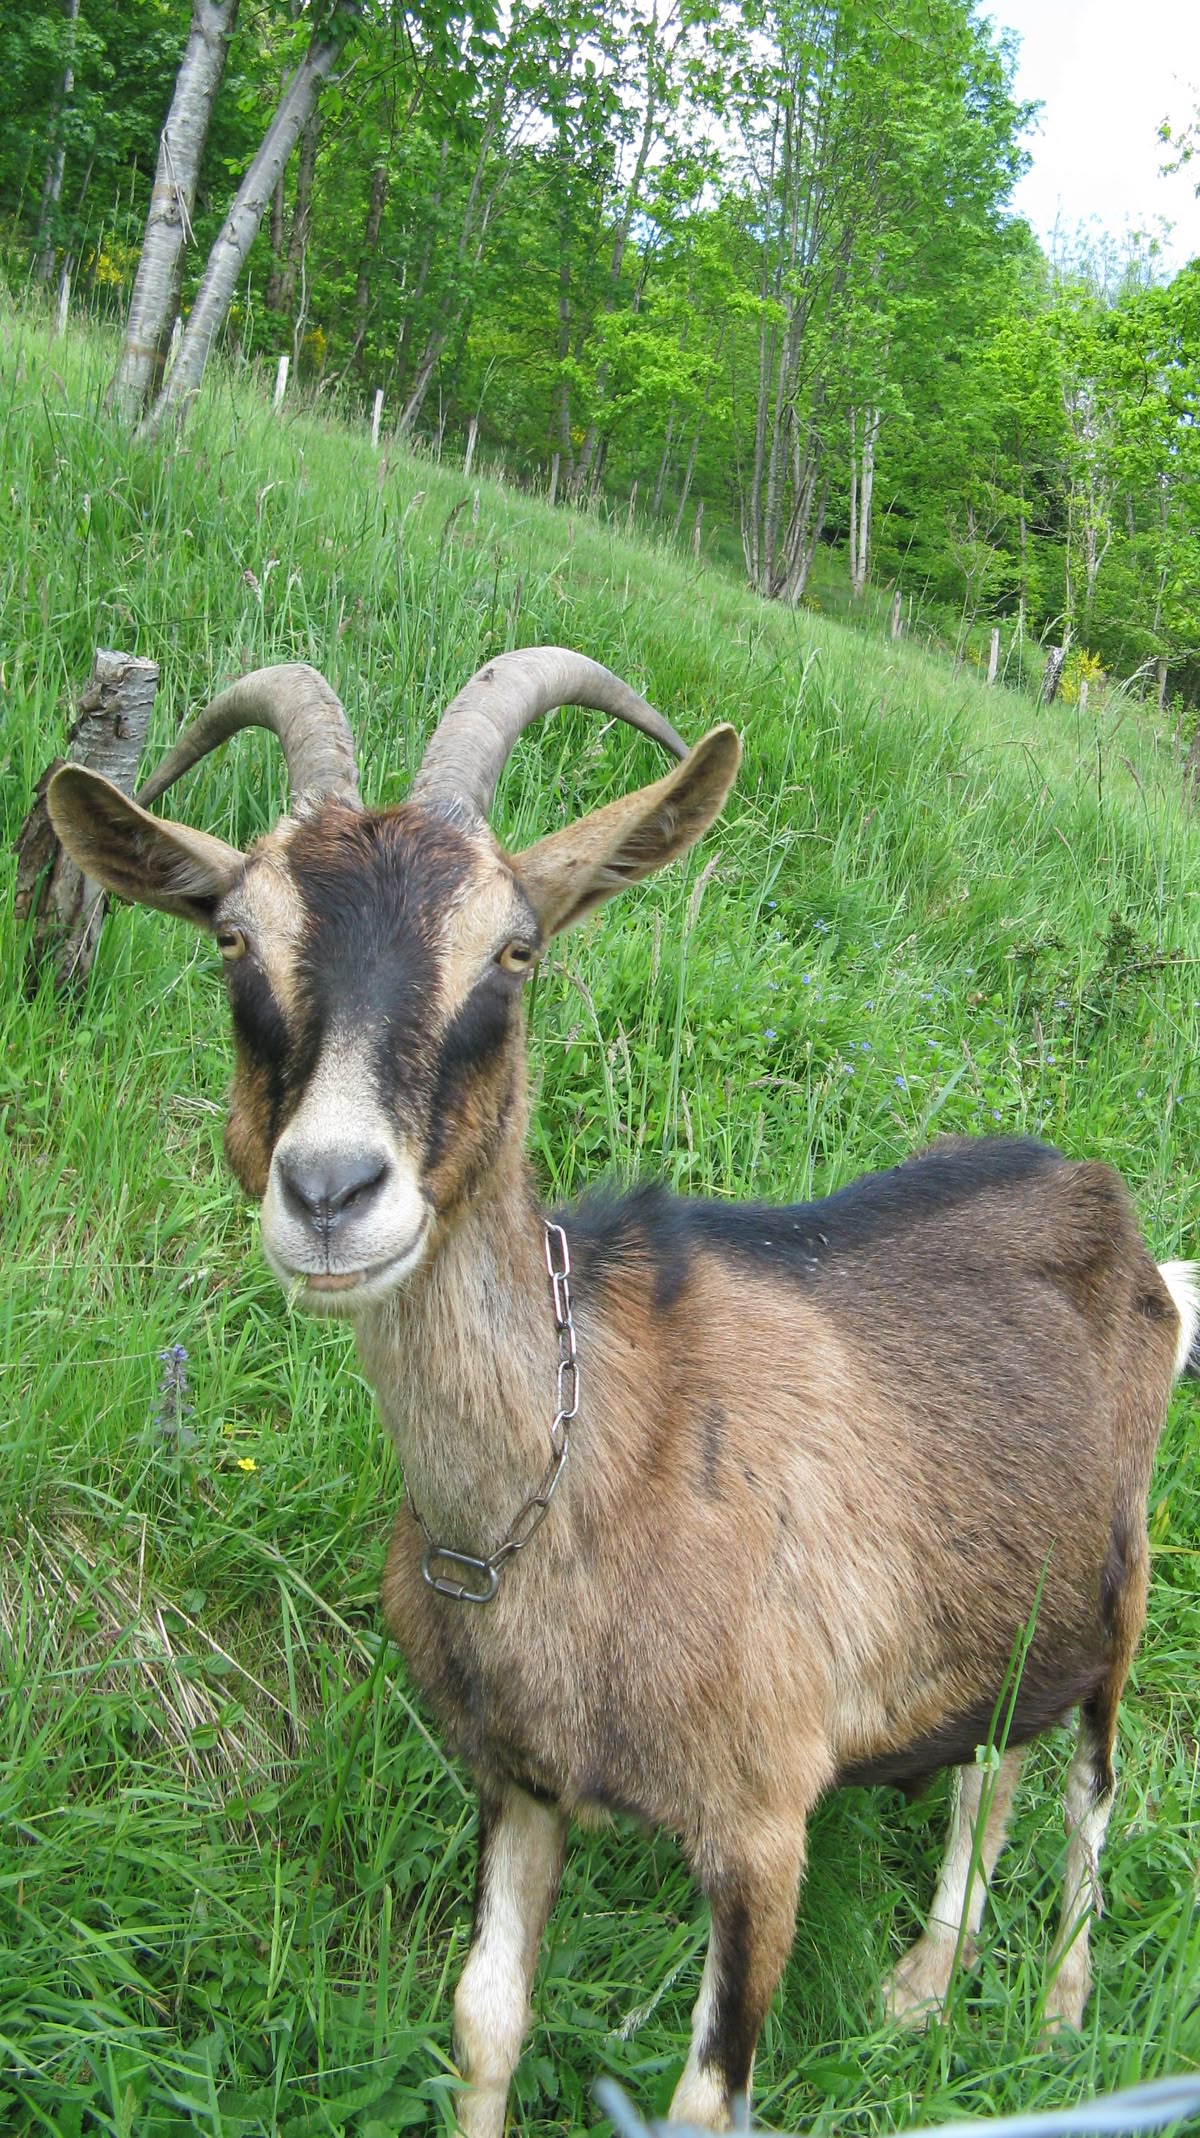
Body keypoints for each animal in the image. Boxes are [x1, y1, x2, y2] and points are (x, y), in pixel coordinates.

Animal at [49, 650, 1198, 2134]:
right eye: (235, 937)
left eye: (515, 948)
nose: (331, 1189)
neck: (576, 1479)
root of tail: (1108, 1207)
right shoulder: (517, 1777)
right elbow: (485, 2017)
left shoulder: (763, 1823)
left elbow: (707, 2096)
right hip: (1003, 1596)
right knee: (989, 1767)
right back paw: (923, 1984)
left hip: (1123, 1595)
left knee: (1086, 1793)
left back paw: (1057, 2013)